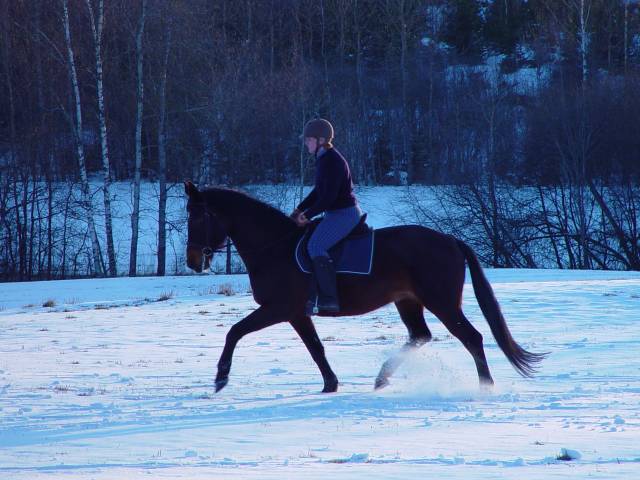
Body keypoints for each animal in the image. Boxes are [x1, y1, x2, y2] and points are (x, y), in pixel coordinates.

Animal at [184, 182, 544, 392]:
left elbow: (235, 331)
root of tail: (449, 239)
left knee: (471, 337)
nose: (192, 260)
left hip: (440, 301)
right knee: (420, 336)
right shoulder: (297, 314)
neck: (275, 246)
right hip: (408, 301)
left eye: (197, 217)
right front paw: (330, 385)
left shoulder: (278, 308)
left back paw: (485, 387)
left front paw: (220, 378)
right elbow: (316, 348)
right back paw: (382, 378)